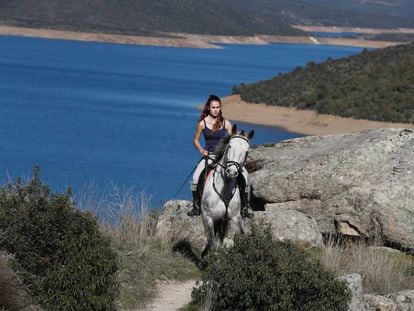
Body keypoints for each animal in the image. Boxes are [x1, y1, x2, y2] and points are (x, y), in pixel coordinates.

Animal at [200, 125, 254, 258]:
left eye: (246, 152)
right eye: (229, 146)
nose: (232, 172)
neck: (223, 191)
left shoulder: (233, 218)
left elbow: (227, 244)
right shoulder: (208, 218)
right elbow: (212, 244)